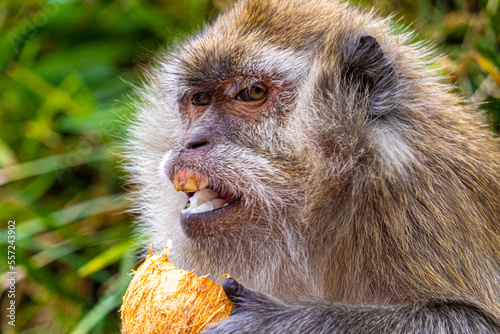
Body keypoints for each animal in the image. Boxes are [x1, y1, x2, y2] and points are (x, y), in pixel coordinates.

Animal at [127, 0, 500, 332]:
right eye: (200, 99)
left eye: (251, 93)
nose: (190, 141)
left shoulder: (421, 200)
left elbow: (474, 322)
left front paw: (269, 323)